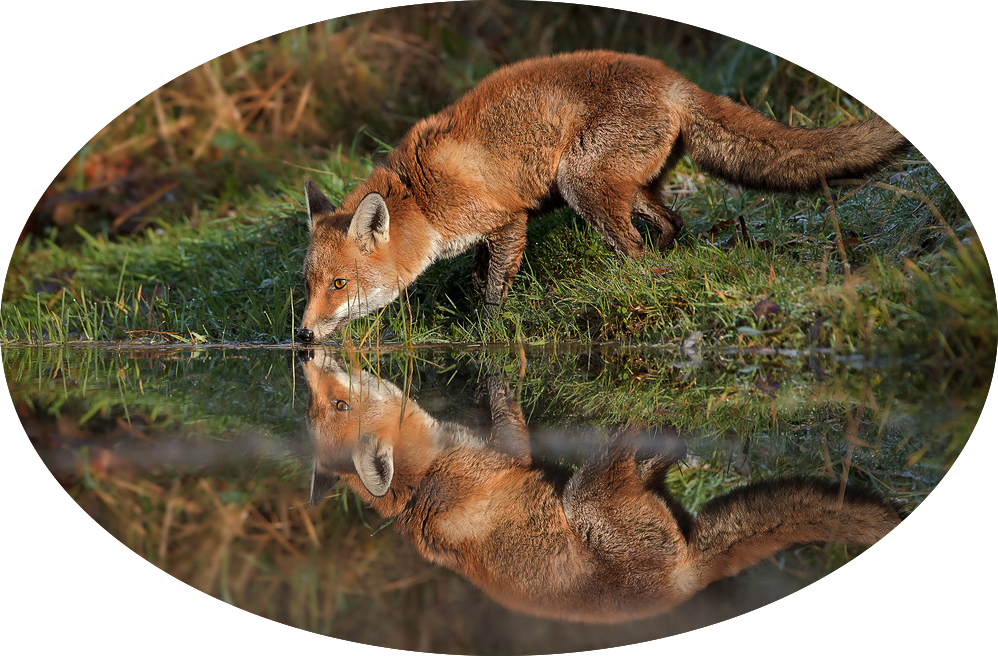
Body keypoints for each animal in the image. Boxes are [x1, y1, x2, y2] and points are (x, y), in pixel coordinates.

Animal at [297, 49, 909, 343]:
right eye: (307, 285)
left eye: (339, 285)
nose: (301, 334)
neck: (419, 197)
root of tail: (670, 77)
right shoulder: (484, 234)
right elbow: (476, 276)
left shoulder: (507, 220)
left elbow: (492, 290)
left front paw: (485, 333)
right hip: (624, 187)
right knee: (672, 224)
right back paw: (666, 261)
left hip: (580, 182)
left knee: (638, 252)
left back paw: (632, 284)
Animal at [301, 350, 904, 623]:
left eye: (333, 404)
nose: (306, 353)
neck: (427, 478)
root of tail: (686, 581)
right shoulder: (508, 456)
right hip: (588, 499)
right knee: (625, 466)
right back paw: (646, 428)